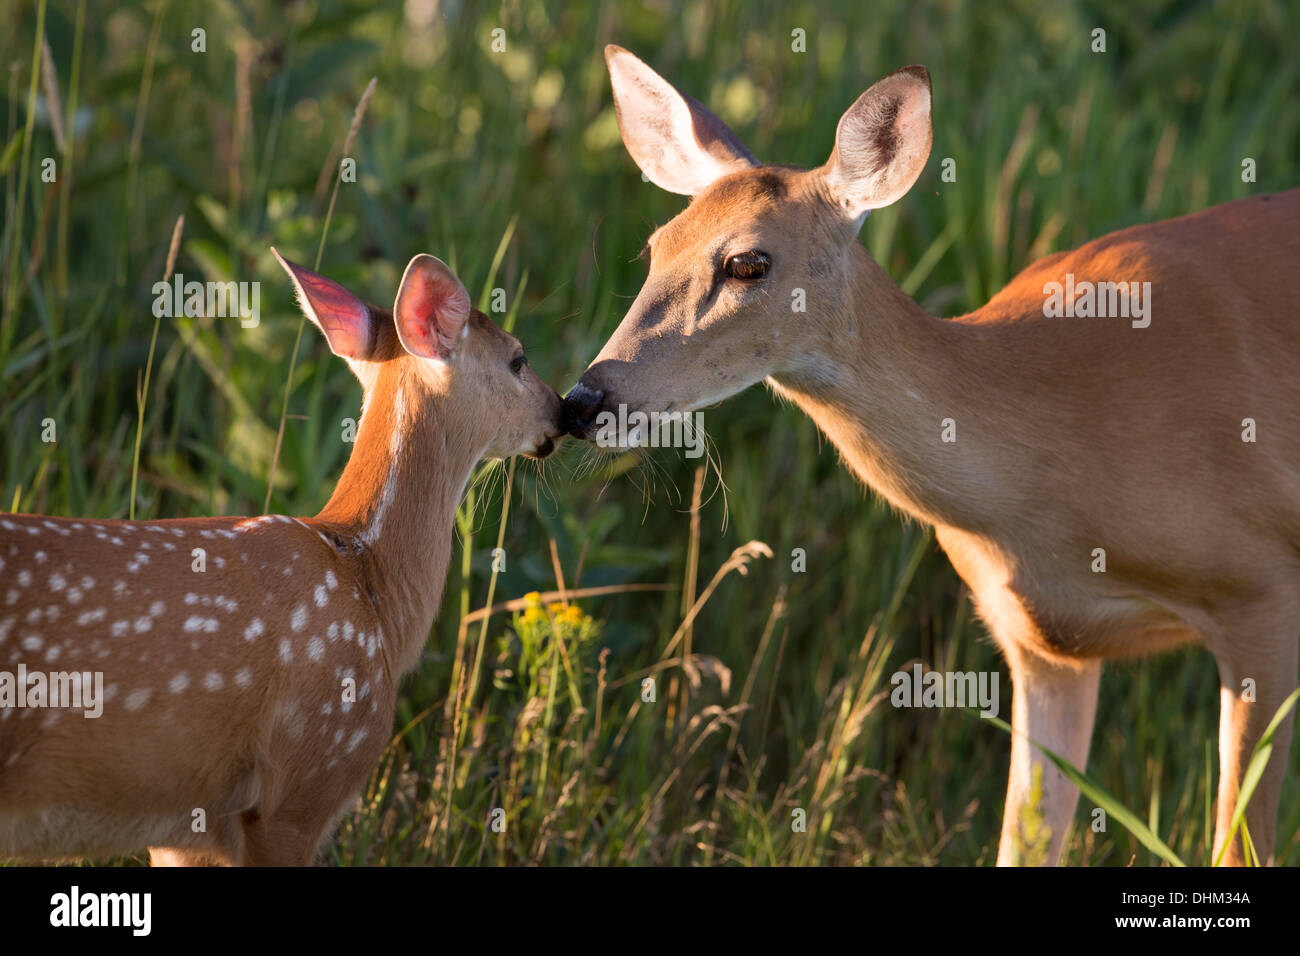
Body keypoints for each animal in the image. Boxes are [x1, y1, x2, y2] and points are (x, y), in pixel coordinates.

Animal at [566, 44, 1300, 868]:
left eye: (749, 262)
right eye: (655, 247)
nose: (587, 399)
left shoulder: (1262, 588)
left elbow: (1241, 844)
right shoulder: (1046, 642)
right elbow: (1024, 843)